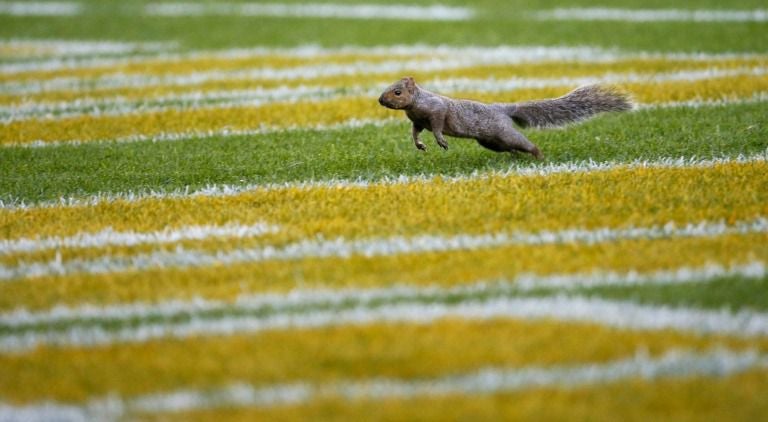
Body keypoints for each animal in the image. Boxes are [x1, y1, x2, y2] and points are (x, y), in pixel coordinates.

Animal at [376, 76, 632, 158]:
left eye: (397, 92)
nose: (380, 100)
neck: (416, 103)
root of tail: (503, 109)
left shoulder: (437, 110)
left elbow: (438, 125)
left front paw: (441, 140)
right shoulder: (417, 121)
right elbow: (415, 132)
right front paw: (419, 144)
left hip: (503, 133)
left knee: (525, 143)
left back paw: (538, 156)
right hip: (491, 142)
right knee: (510, 148)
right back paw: (515, 156)